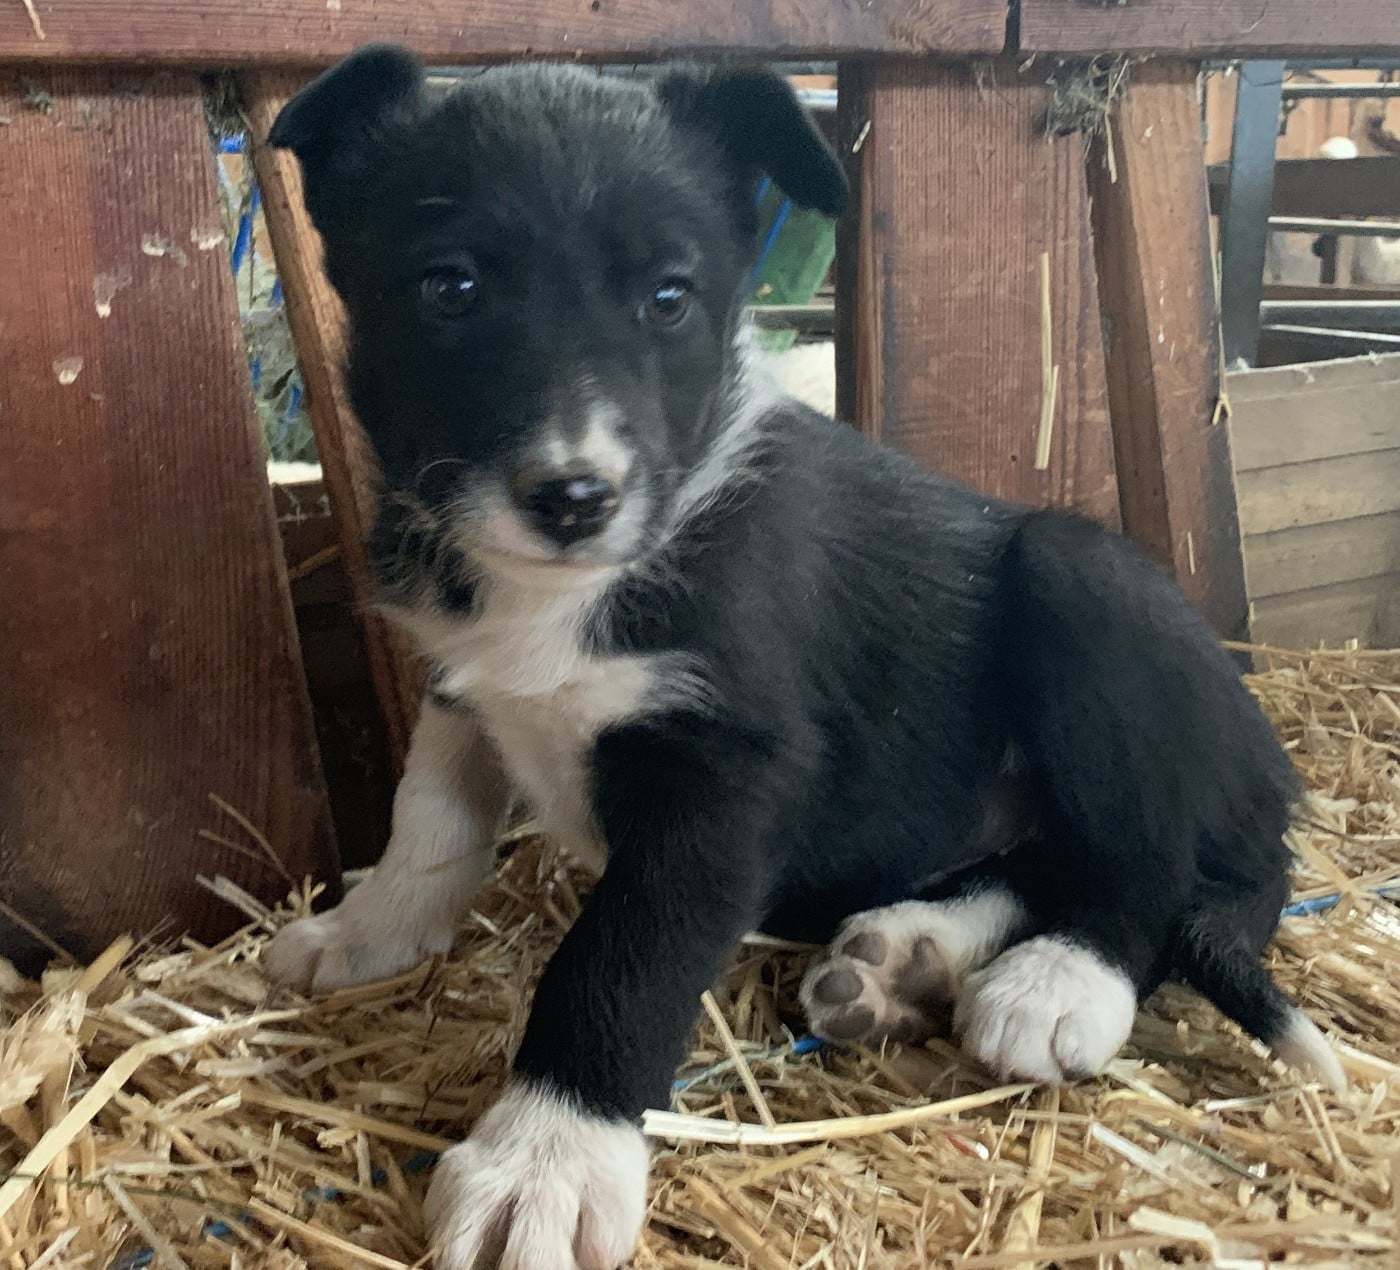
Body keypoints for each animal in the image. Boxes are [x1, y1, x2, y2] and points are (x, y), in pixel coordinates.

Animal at [262, 46, 1344, 1269]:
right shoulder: (461, 677)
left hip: (1086, 582)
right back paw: (911, 951)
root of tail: (1269, 770)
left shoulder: (727, 771)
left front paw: (543, 1159)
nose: (575, 498)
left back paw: (1061, 979)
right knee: (1042, 856)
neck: (567, 591)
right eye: (448, 288)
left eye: (669, 297)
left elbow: (618, 959)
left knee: (1154, 863)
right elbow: (430, 817)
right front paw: (371, 930)